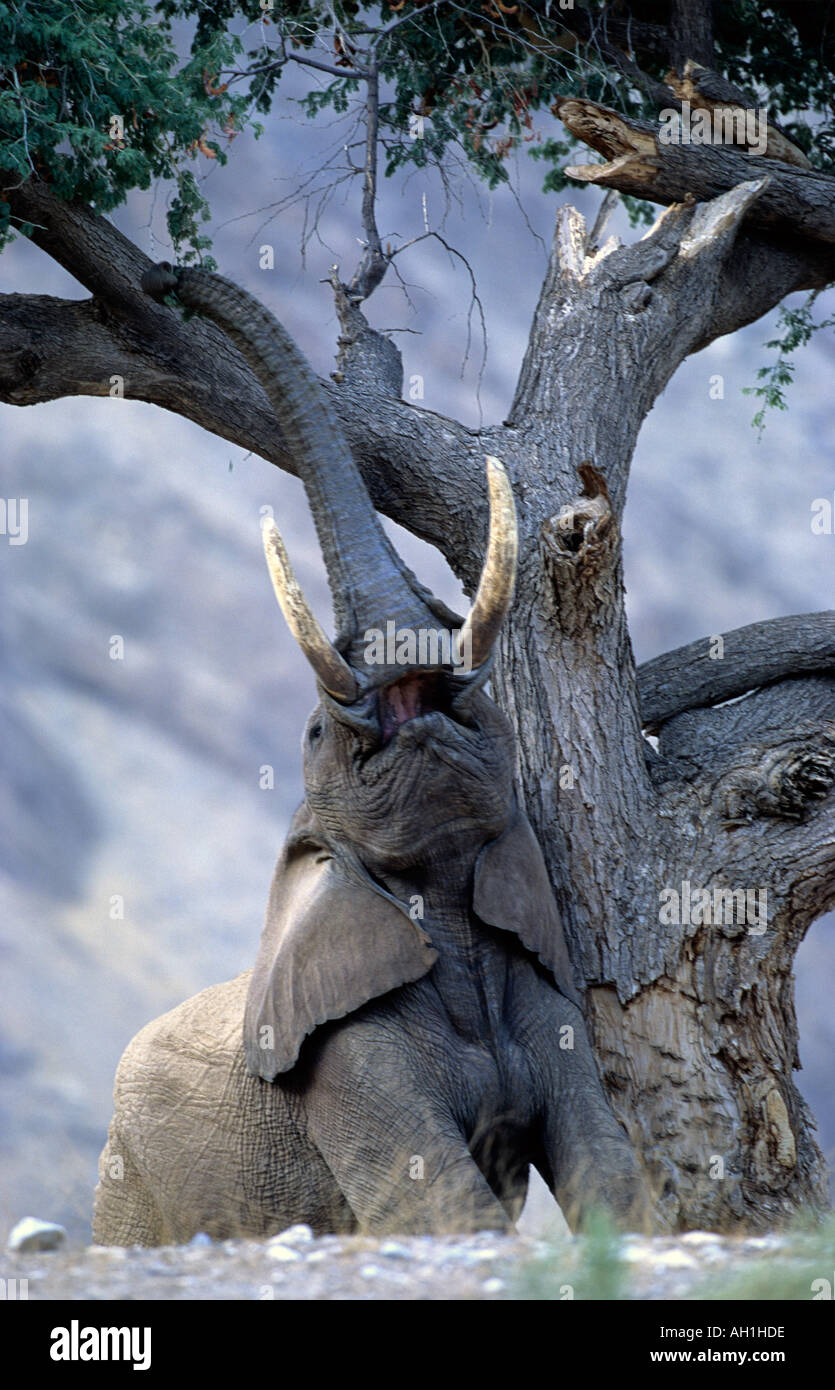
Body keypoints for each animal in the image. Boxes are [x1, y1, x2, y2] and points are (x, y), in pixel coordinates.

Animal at [93, 265, 650, 1245]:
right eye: (316, 732)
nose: (166, 279)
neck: (448, 919)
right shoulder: (340, 1056)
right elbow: (440, 1198)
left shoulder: (544, 989)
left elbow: (602, 1163)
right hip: (124, 1179)